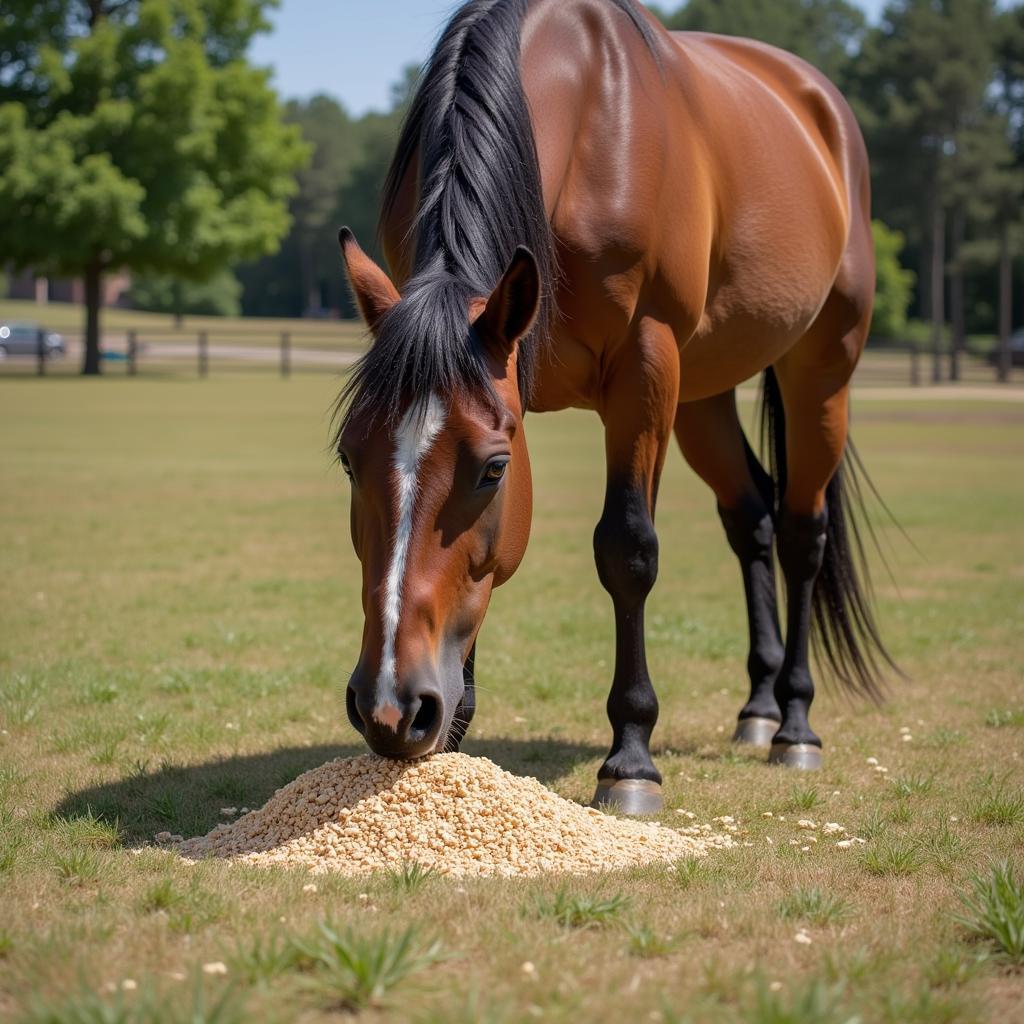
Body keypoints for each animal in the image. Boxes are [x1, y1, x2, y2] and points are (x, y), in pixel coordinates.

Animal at [331, 0, 892, 815]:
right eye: (350, 458)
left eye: (492, 470)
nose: (391, 705)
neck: (588, 119)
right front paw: (456, 735)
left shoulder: (644, 367)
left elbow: (627, 549)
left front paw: (630, 759)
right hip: (703, 394)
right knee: (752, 516)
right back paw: (757, 709)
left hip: (819, 367)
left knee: (800, 532)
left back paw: (793, 724)